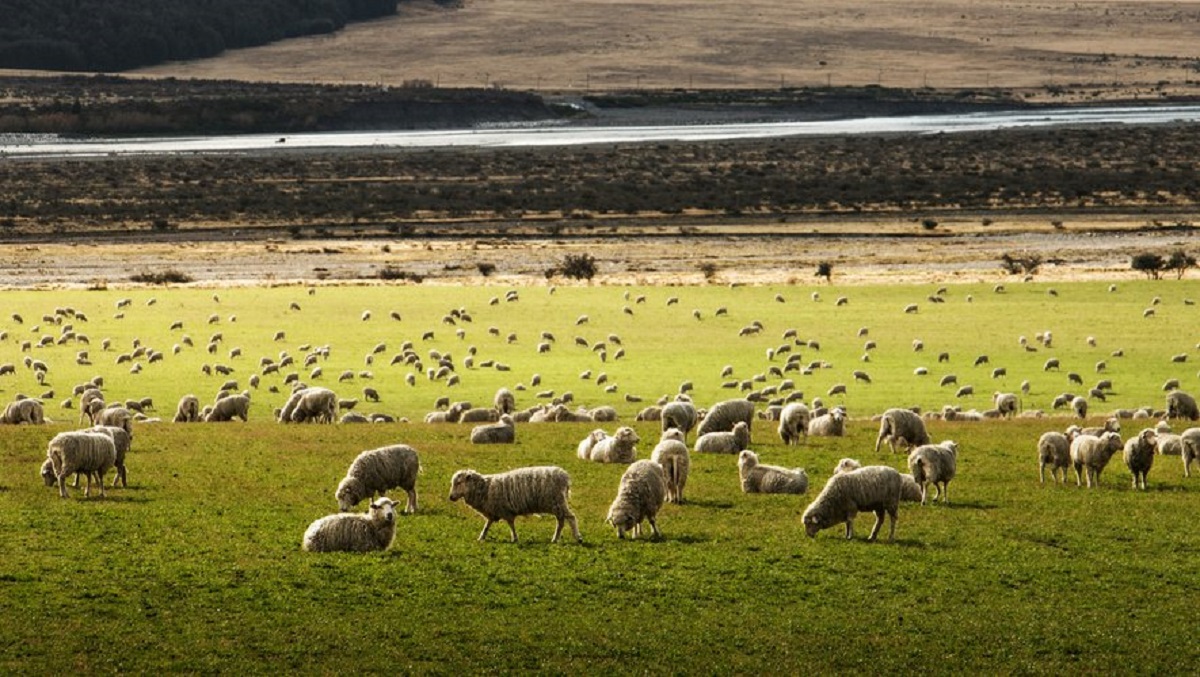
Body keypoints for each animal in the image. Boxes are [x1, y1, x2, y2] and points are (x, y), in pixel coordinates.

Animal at [448, 466, 581, 543]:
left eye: (458, 483)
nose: (451, 497)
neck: (484, 488)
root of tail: (565, 476)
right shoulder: (492, 512)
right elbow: (487, 526)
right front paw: (481, 537)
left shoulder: (505, 510)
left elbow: (511, 525)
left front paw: (515, 538)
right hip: (556, 504)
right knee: (561, 522)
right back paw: (555, 539)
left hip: (558, 501)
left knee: (571, 517)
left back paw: (578, 537)